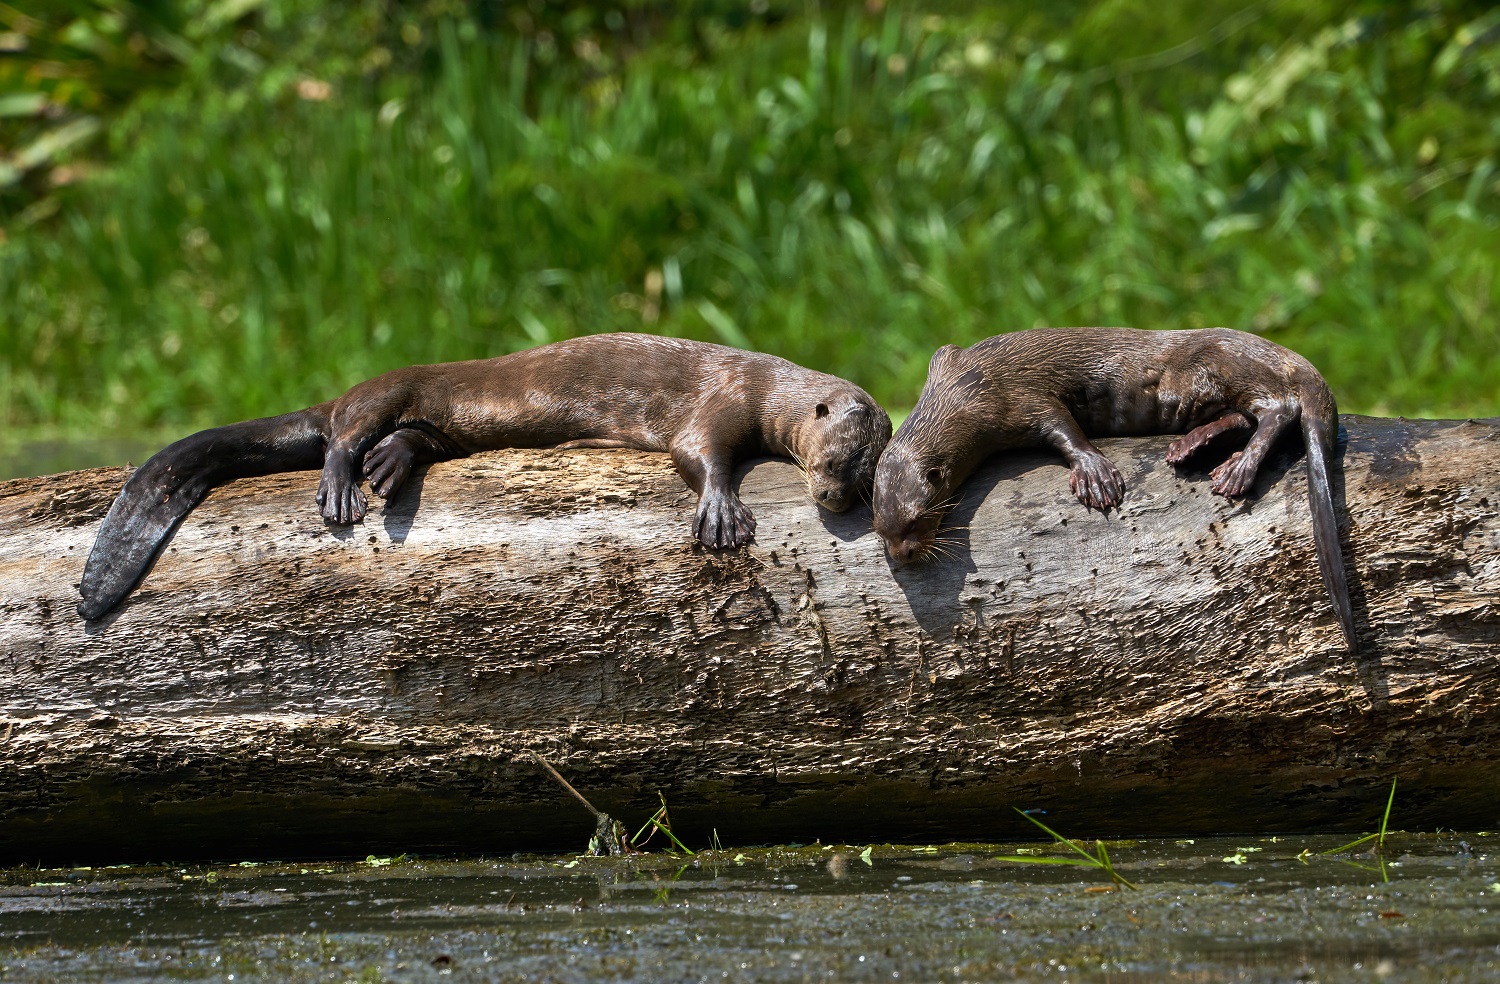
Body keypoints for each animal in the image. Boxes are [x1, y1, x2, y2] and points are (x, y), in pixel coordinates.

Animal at [79, 334, 888, 618]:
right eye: (832, 460)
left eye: (864, 476)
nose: (834, 497)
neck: (766, 389)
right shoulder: (720, 400)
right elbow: (698, 456)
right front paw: (721, 513)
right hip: (385, 387)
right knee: (343, 432)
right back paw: (344, 485)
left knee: (405, 440)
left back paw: (389, 467)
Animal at [876, 327, 1368, 657]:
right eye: (881, 530)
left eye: (917, 518)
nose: (902, 554)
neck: (964, 389)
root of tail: (1283, 353)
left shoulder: (1021, 398)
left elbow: (1063, 428)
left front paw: (1095, 475)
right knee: (1245, 416)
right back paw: (1194, 445)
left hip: (1211, 367)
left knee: (1277, 408)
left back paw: (1236, 470)